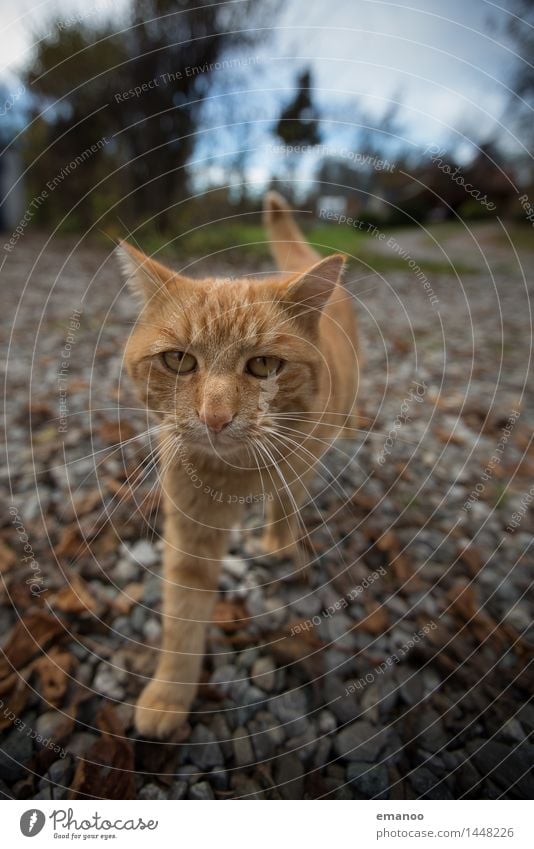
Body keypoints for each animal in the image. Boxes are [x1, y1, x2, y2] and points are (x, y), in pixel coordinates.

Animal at [116, 192, 360, 736]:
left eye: (263, 365)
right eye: (179, 361)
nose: (215, 416)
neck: (239, 473)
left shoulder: (300, 463)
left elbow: (287, 502)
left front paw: (277, 542)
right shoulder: (190, 527)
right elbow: (184, 612)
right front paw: (170, 695)